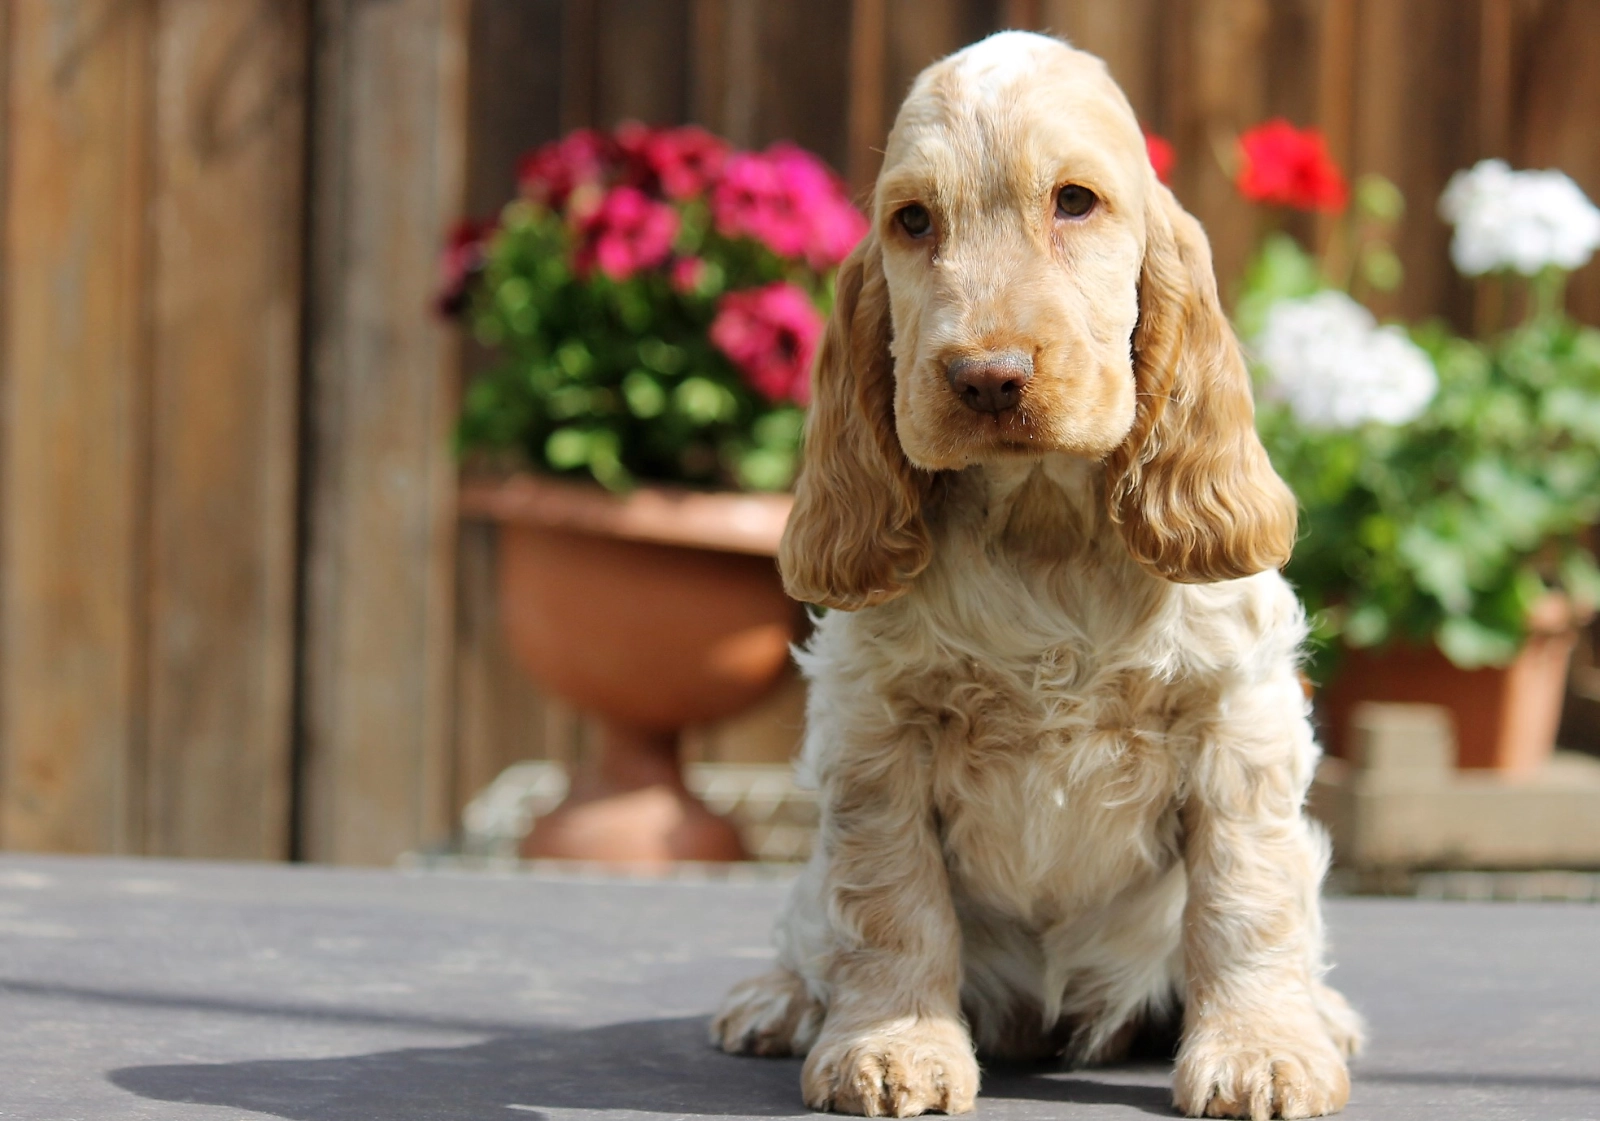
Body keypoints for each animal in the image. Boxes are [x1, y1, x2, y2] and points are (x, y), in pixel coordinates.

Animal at [712, 31, 1364, 1121]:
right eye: (913, 219)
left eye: (1074, 201)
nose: (987, 377)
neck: (1042, 527)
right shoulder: (874, 732)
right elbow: (888, 904)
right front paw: (891, 1045)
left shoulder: (1238, 717)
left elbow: (1246, 897)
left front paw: (1263, 1050)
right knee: (811, 921)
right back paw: (779, 998)